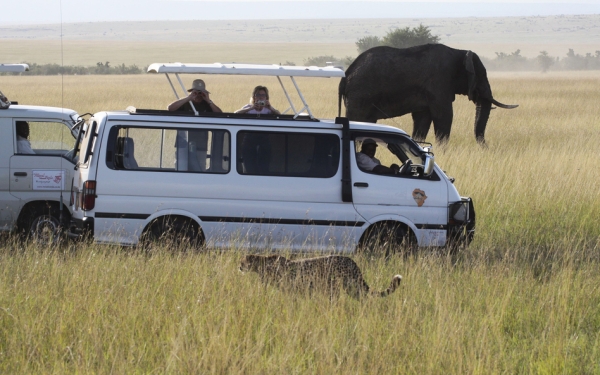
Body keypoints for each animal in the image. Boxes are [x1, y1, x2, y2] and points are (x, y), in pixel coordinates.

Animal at [239, 254, 404, 302]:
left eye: (242, 261)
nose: (238, 266)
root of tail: (351, 260)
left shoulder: (290, 287)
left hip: (336, 287)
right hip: (351, 288)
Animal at [340, 43, 516, 144]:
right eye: (481, 76)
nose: (486, 146)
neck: (458, 53)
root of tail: (346, 75)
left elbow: (422, 119)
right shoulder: (439, 82)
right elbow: (444, 115)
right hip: (360, 95)